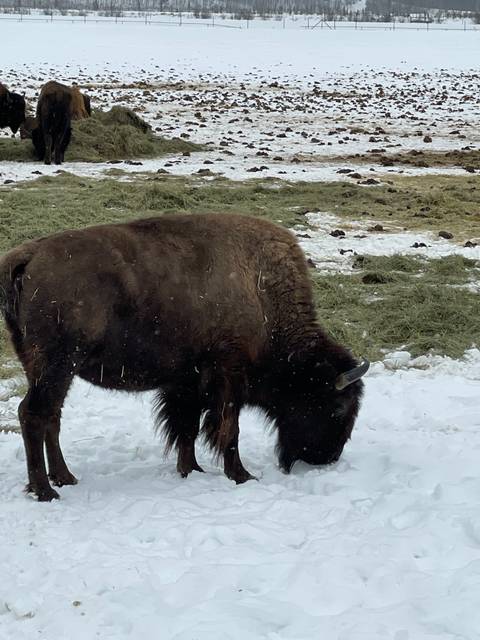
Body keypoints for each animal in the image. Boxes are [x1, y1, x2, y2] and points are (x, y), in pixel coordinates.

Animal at [0, 214, 368, 501]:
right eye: (338, 407)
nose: (327, 458)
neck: (260, 289)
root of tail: (29, 255)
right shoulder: (227, 379)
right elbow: (227, 431)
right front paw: (242, 476)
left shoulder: (187, 384)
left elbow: (186, 429)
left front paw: (191, 469)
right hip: (57, 366)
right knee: (33, 415)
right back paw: (46, 491)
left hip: (49, 370)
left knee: (51, 417)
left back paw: (65, 478)